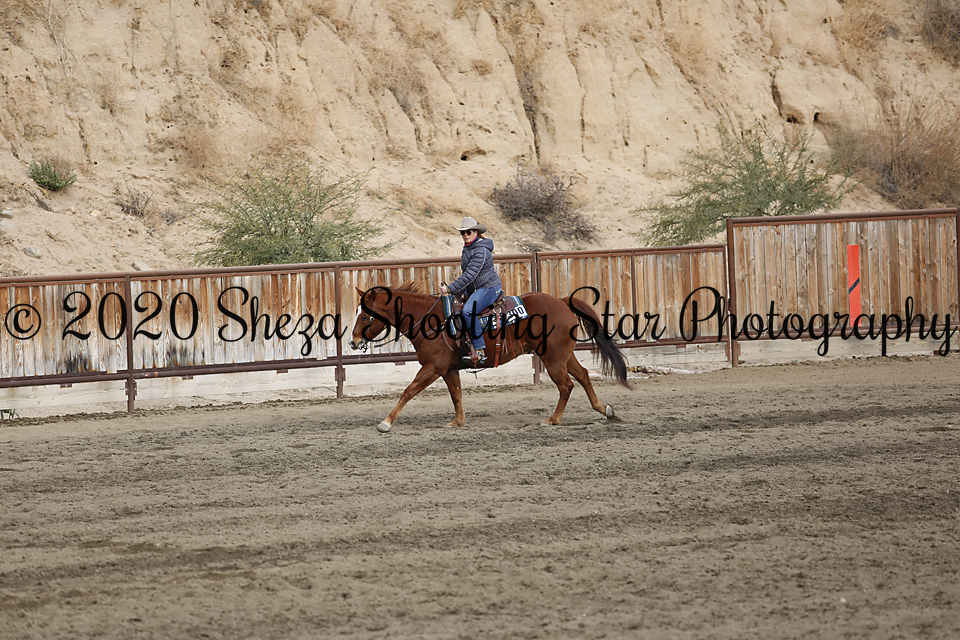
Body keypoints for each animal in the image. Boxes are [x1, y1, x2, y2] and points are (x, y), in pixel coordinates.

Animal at [348, 282, 631, 432]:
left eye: (365, 315)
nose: (353, 341)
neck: (430, 320)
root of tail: (561, 301)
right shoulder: (449, 369)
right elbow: (456, 394)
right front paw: (458, 421)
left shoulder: (433, 367)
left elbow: (408, 390)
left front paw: (385, 422)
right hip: (562, 355)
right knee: (582, 376)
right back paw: (605, 410)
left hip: (552, 359)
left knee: (566, 385)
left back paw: (553, 419)